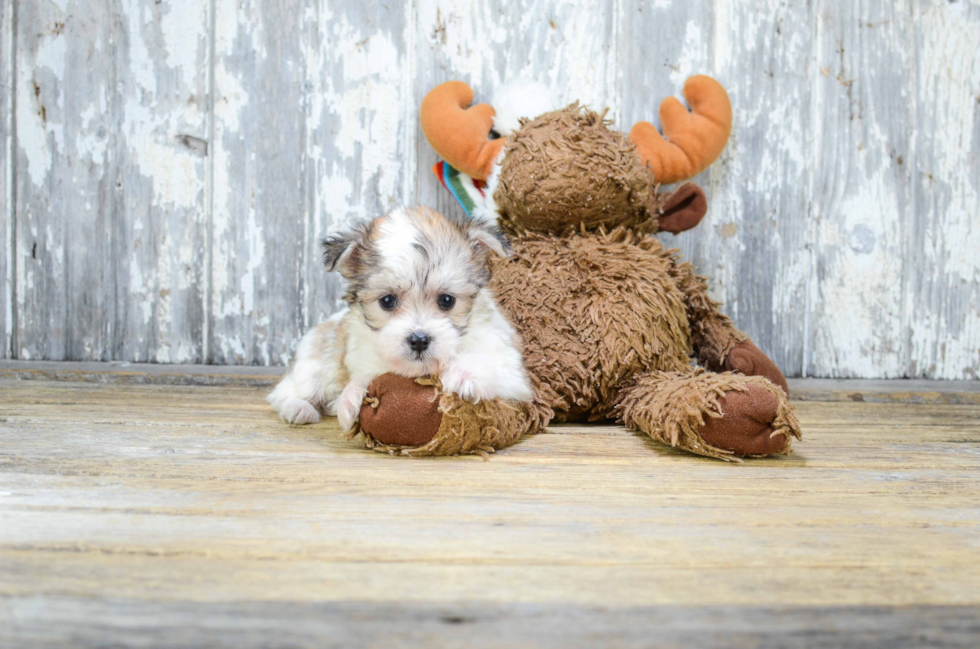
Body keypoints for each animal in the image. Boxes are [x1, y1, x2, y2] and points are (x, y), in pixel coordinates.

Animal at [264, 208, 532, 430]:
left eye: (447, 300)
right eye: (387, 301)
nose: (419, 340)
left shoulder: (511, 368)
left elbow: (493, 364)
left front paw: (464, 374)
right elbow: (363, 376)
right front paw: (351, 396)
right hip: (315, 362)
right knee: (285, 392)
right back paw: (298, 408)